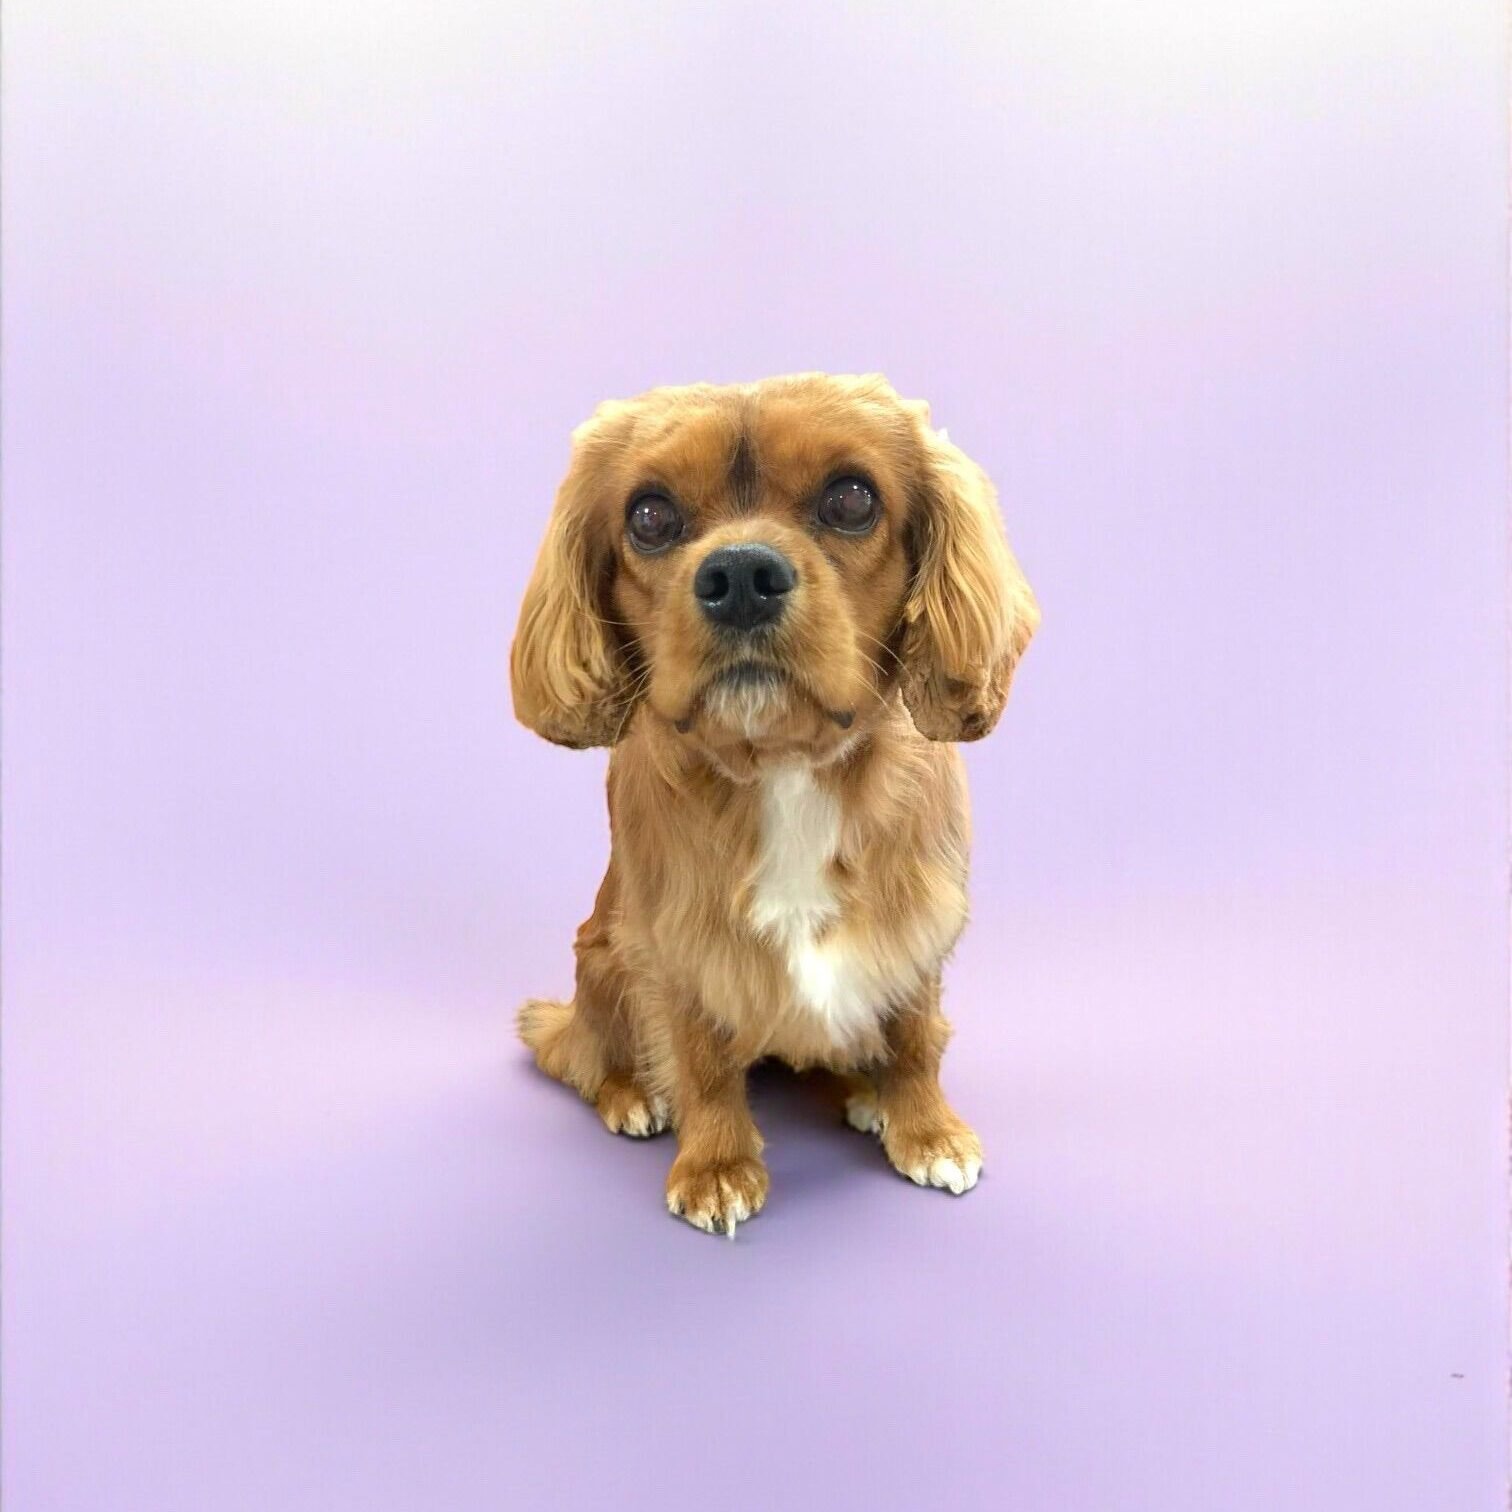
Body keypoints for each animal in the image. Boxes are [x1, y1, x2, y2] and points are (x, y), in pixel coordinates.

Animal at [511, 372, 1038, 1234]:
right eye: (649, 516)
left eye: (852, 498)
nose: (740, 577)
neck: (785, 766)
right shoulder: (678, 947)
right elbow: (702, 1061)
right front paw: (718, 1167)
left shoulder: (915, 926)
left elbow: (917, 1036)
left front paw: (926, 1130)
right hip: (600, 960)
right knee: (583, 1053)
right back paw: (632, 1096)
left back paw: (864, 1092)